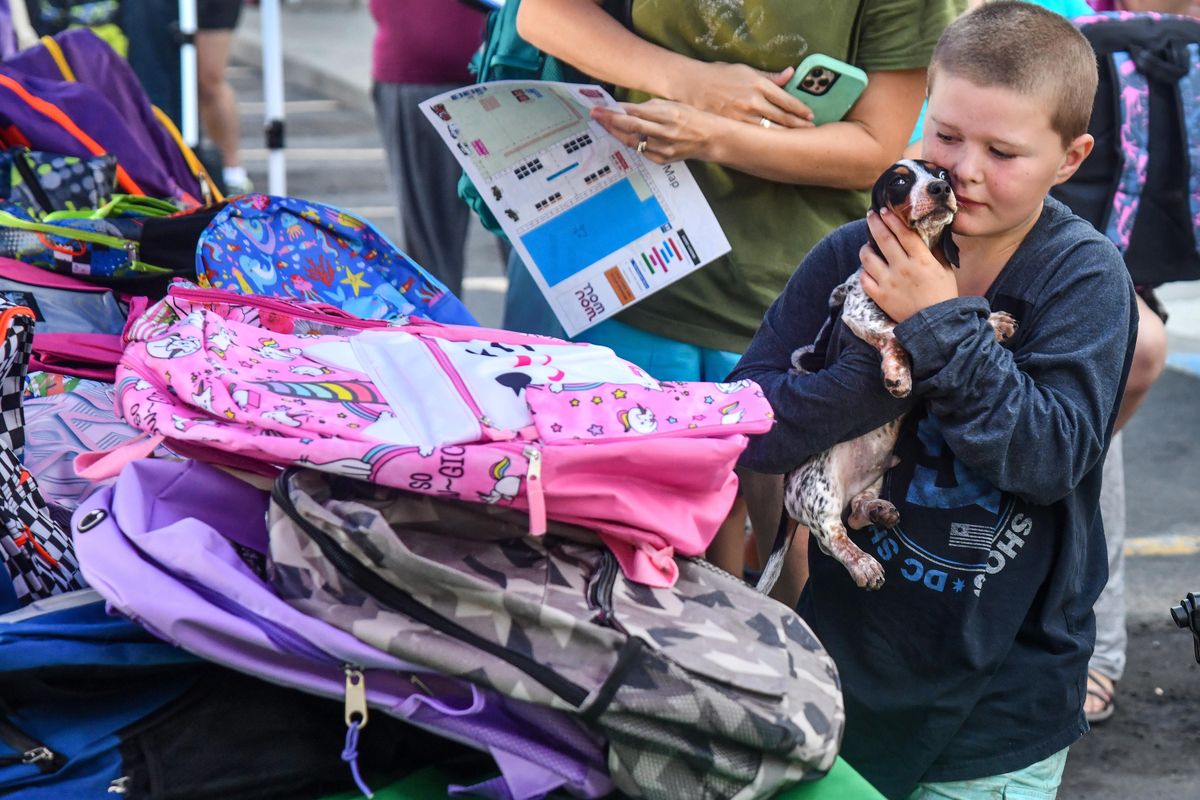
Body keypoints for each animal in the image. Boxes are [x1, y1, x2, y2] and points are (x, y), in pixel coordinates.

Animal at [777, 159, 1012, 592]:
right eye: (900, 180)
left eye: (943, 175)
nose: (940, 189)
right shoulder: (858, 309)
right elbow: (894, 332)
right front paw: (897, 373)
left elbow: (950, 318)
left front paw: (995, 322)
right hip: (818, 489)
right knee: (832, 536)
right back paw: (863, 564)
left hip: (869, 478)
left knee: (856, 511)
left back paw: (878, 511)